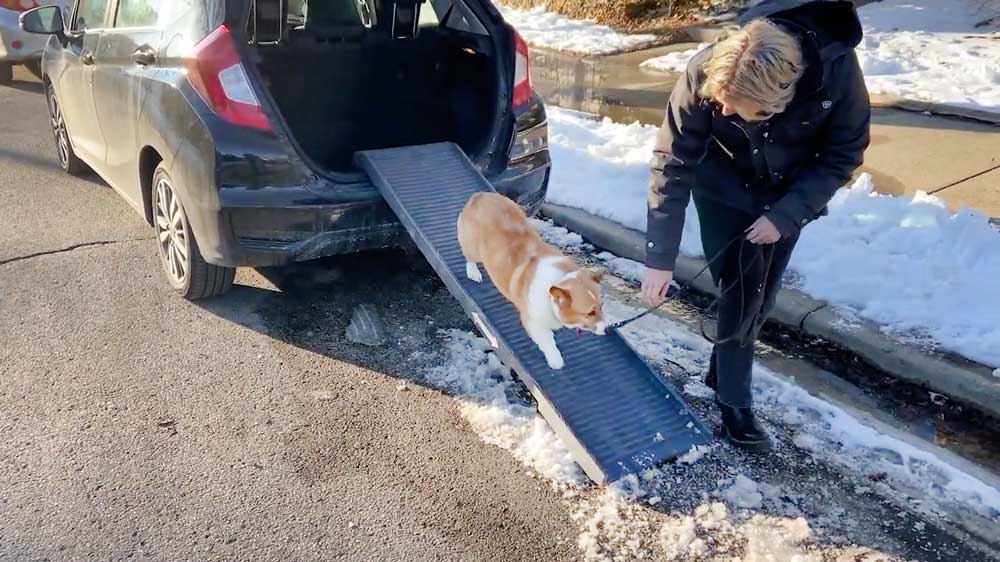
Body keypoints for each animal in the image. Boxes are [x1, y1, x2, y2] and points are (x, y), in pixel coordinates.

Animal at [458, 190, 604, 370]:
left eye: (601, 306)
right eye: (589, 312)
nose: (607, 329)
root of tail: (479, 195)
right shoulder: (533, 322)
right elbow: (548, 342)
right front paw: (556, 360)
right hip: (473, 247)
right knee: (470, 258)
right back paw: (473, 273)